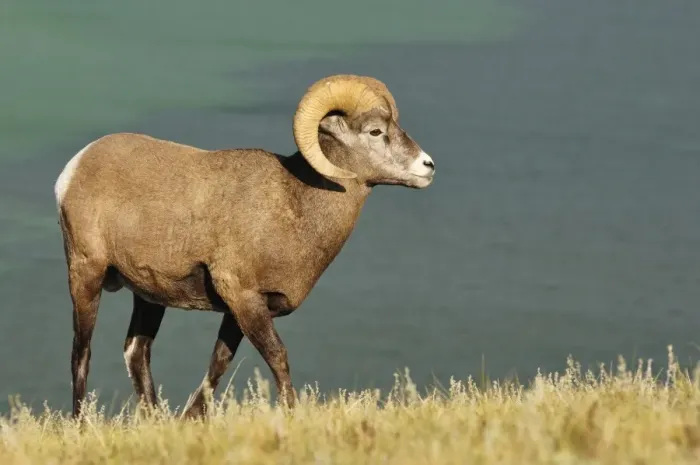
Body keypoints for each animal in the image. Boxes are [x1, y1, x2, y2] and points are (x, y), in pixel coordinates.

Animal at [54, 74, 436, 420]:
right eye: (375, 131)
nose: (428, 166)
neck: (295, 204)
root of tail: (74, 169)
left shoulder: (241, 309)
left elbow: (218, 363)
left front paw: (191, 419)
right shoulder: (243, 296)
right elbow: (277, 357)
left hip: (149, 296)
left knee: (136, 352)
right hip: (86, 274)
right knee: (80, 353)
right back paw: (80, 425)